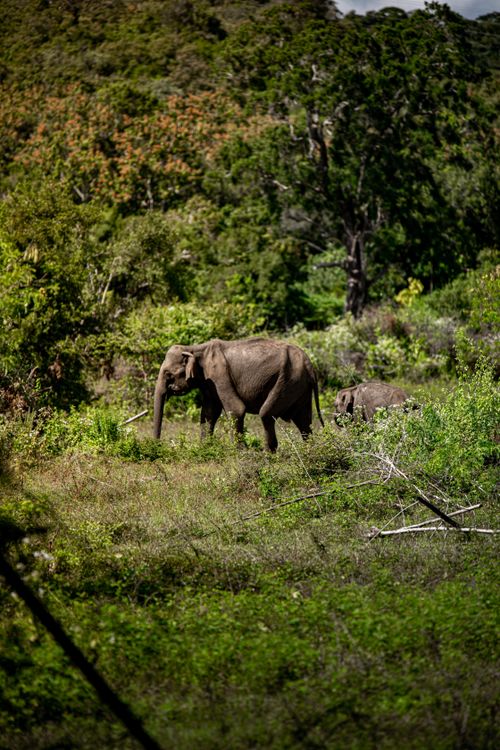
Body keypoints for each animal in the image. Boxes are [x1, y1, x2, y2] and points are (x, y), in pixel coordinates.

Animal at [153, 337, 324, 452]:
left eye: (168, 374)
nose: (158, 446)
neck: (195, 348)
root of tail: (310, 364)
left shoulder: (219, 375)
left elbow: (236, 409)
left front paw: (239, 451)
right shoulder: (209, 382)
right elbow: (208, 413)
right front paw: (205, 448)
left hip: (288, 380)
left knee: (266, 414)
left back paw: (267, 453)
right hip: (299, 386)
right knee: (303, 420)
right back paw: (311, 451)